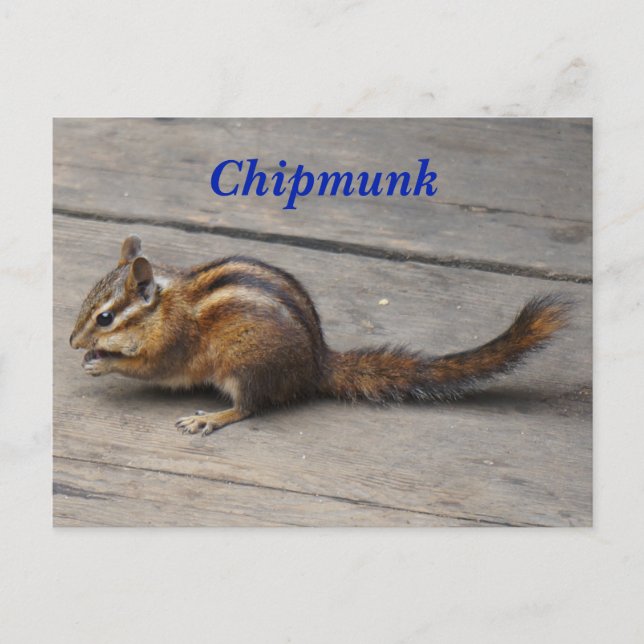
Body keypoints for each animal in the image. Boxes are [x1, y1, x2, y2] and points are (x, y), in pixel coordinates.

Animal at [70, 235, 571, 437]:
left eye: (106, 318)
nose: (73, 342)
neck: (166, 306)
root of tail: (316, 365)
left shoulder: (172, 346)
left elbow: (150, 368)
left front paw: (103, 362)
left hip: (246, 367)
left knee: (250, 408)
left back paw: (211, 418)